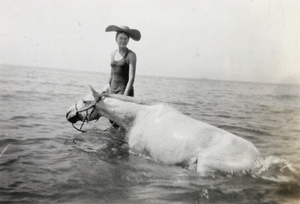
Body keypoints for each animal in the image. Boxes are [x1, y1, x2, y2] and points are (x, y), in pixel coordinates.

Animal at [66, 87, 260, 175]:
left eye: (85, 101)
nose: (68, 114)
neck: (138, 116)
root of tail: (257, 159)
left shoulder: (137, 152)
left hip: (205, 165)